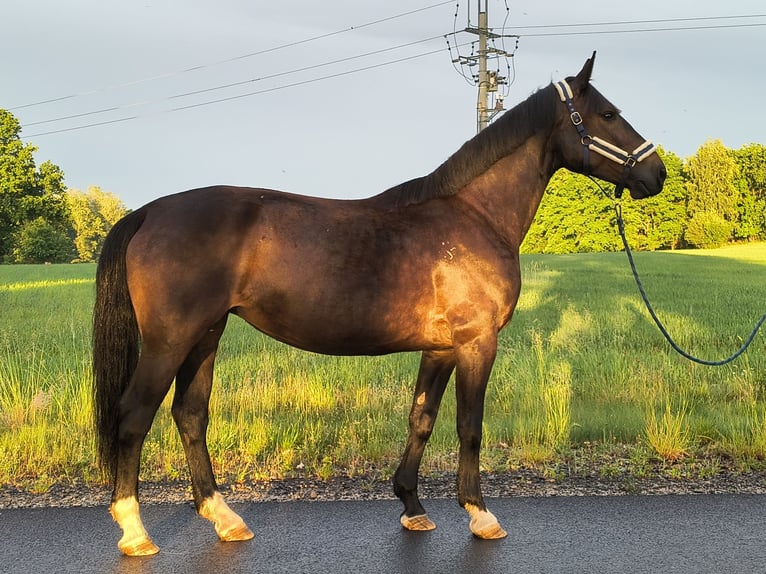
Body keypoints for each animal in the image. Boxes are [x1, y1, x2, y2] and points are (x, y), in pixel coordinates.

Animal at [93, 52, 666, 556]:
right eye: (609, 114)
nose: (656, 174)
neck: (474, 216)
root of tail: (150, 211)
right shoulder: (477, 342)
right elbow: (470, 425)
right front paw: (480, 514)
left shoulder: (440, 348)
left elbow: (422, 418)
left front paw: (412, 506)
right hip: (170, 341)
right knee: (133, 416)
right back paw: (135, 531)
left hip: (206, 336)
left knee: (190, 415)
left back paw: (224, 518)